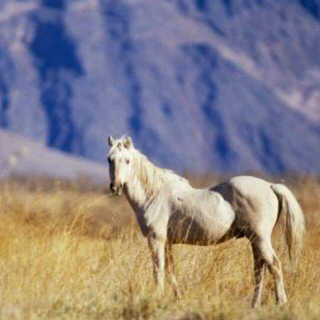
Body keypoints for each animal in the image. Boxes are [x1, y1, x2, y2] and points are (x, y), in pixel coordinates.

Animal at [107, 135, 304, 308]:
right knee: (259, 270)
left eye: (127, 160)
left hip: (260, 239)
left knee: (275, 266)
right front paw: (178, 299)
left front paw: (158, 297)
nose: (115, 187)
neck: (153, 194)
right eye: (110, 159)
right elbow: (171, 272)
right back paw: (254, 305)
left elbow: (159, 271)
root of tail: (270, 186)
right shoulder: (167, 243)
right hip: (255, 240)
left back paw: (281, 303)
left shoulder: (156, 240)